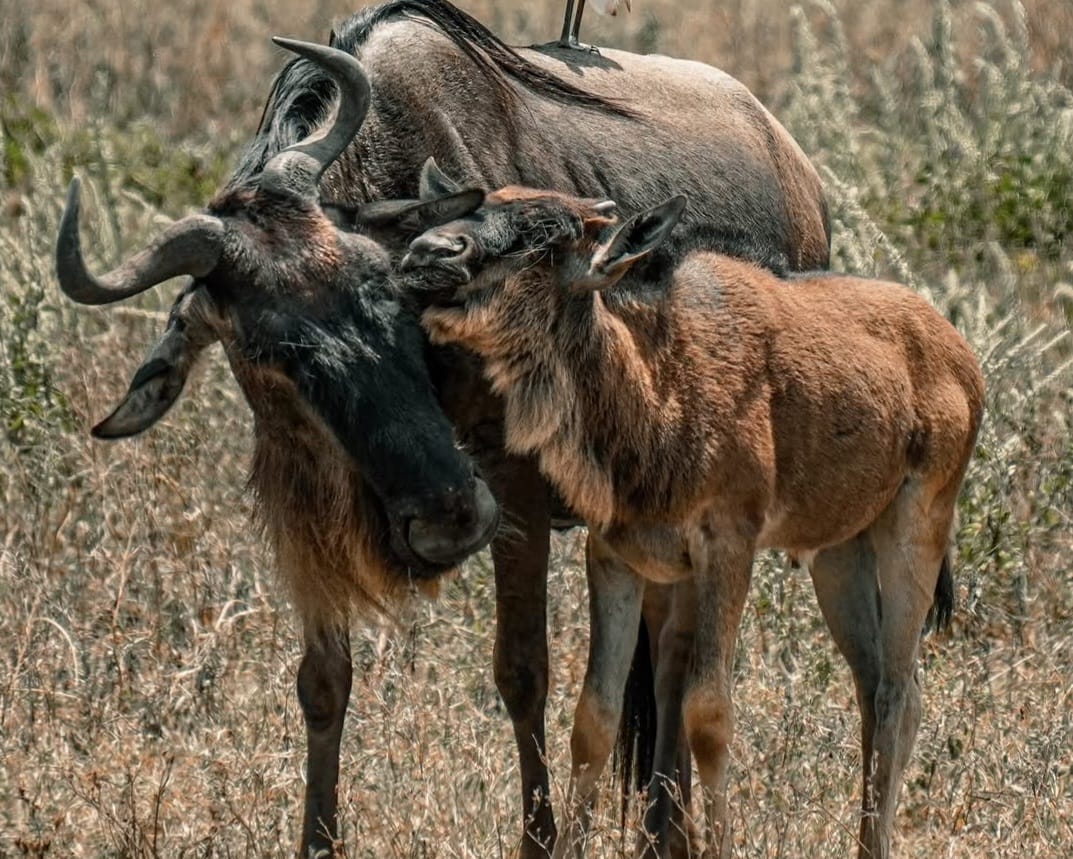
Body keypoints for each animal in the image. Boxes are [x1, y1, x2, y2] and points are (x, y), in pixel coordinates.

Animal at [58, 2, 830, 856]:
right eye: (266, 351)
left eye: (393, 292)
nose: (448, 518)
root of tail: (795, 169)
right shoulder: (303, 507)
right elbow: (322, 680)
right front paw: (318, 838)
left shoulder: (515, 488)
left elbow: (522, 671)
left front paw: (539, 837)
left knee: (670, 655)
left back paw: (667, 829)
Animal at [402, 183, 985, 859]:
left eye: (549, 238)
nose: (425, 252)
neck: (655, 386)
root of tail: (958, 352)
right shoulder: (615, 557)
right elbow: (594, 719)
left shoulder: (727, 547)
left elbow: (708, 715)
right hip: (840, 554)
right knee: (876, 689)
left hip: (916, 530)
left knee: (897, 696)